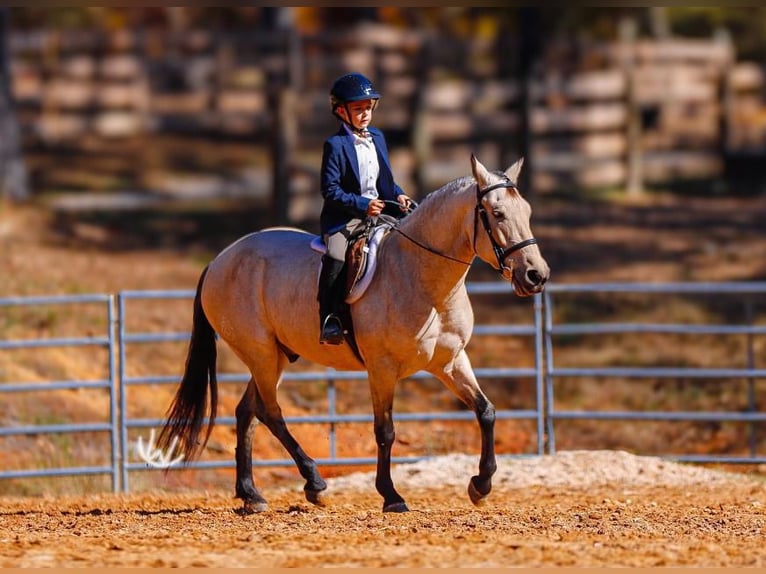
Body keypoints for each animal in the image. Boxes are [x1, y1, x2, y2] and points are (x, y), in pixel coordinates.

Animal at [158, 154, 550, 513]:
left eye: (528, 212)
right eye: (497, 214)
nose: (537, 276)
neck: (421, 277)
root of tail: (220, 259)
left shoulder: (450, 362)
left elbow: (486, 411)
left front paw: (480, 485)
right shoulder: (382, 369)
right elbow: (385, 430)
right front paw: (391, 496)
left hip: (274, 356)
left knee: (247, 412)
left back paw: (251, 494)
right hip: (261, 352)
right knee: (270, 412)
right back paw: (314, 483)